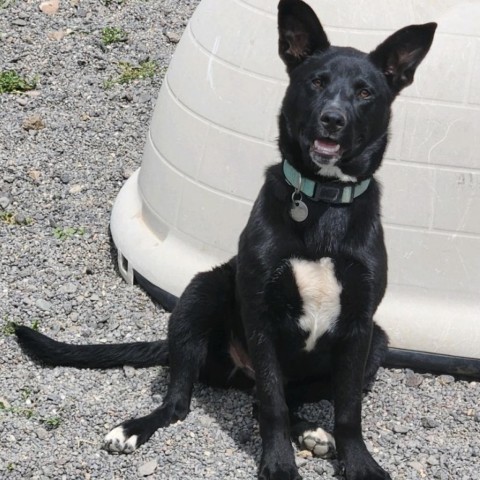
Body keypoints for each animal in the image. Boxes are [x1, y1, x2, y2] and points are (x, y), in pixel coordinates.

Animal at [15, 1, 436, 478]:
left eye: (365, 93)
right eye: (317, 82)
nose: (332, 120)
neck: (322, 202)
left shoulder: (360, 326)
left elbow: (347, 411)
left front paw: (360, 462)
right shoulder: (260, 315)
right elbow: (272, 404)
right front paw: (278, 464)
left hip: (377, 344)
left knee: (269, 400)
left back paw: (312, 430)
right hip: (200, 296)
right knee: (185, 403)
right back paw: (136, 428)